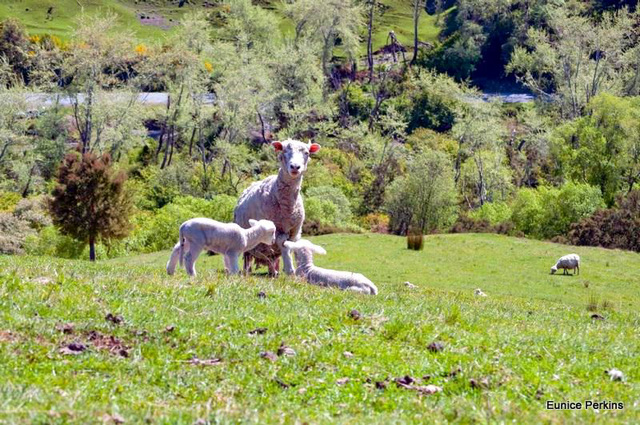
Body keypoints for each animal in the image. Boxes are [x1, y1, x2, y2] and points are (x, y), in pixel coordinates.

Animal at [232, 139, 320, 274]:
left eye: (307, 153)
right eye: (284, 150)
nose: (295, 167)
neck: (287, 207)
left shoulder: (295, 231)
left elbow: (290, 245)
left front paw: (290, 269)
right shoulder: (276, 229)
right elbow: (283, 243)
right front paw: (289, 269)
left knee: (271, 257)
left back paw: (274, 272)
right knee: (248, 257)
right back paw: (247, 272)